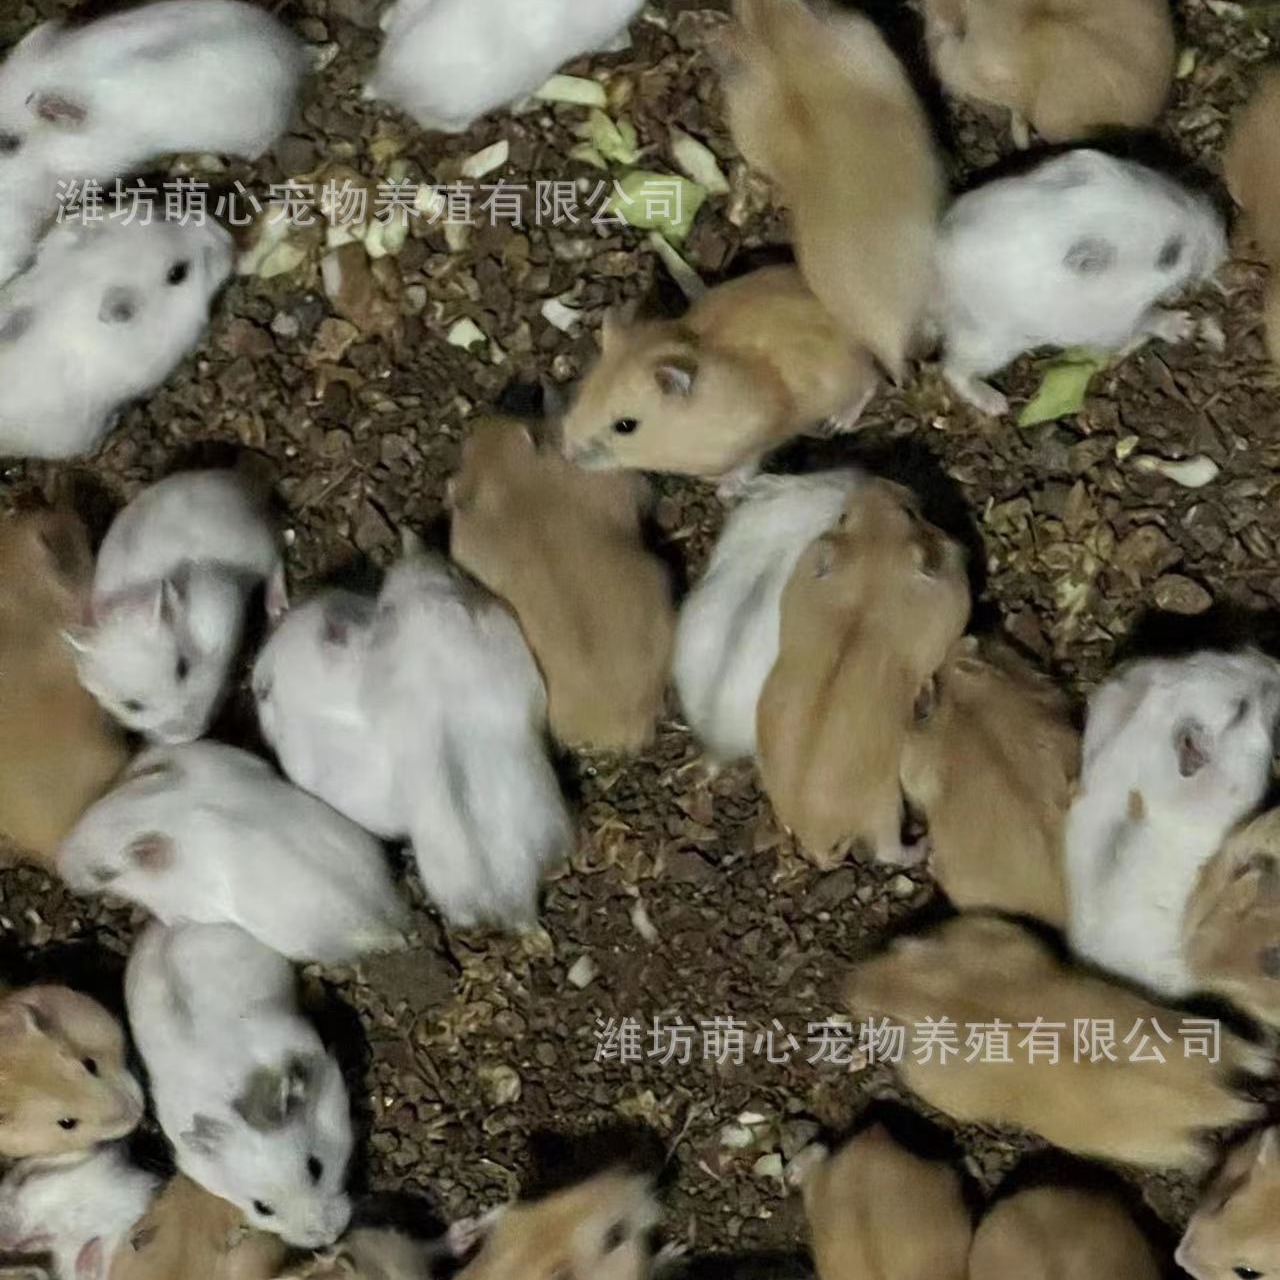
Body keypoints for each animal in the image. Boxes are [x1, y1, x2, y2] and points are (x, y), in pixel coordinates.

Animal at [67, 468, 285, 744]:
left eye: (182, 668)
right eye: (132, 706)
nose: (191, 735)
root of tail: (237, 480)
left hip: (259, 544)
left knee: (277, 558)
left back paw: (278, 608)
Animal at [562, 267, 879, 481]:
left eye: (626, 426)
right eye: (581, 394)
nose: (567, 455)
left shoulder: (759, 435)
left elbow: (749, 462)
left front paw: (722, 486)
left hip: (847, 377)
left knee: (870, 383)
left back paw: (838, 423)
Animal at [757, 478, 971, 868]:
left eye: (843, 517)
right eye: (911, 514)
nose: (875, 483)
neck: (871, 578)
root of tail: (815, 835)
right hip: (885, 805)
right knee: (889, 851)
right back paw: (922, 844)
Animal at [844, 915, 1268, 1171]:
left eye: (878, 1020)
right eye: (891, 946)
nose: (847, 984)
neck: (930, 995)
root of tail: (1211, 1095)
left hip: (1144, 1143)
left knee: (1200, 1151)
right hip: (1202, 1030)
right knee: (1248, 1055)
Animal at [936, 148, 1227, 414]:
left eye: (1176, 193)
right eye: (1169, 255)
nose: (1222, 247)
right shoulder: (1116, 320)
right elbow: (1152, 318)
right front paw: (1186, 325)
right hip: (991, 343)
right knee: (952, 370)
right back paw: (997, 404)